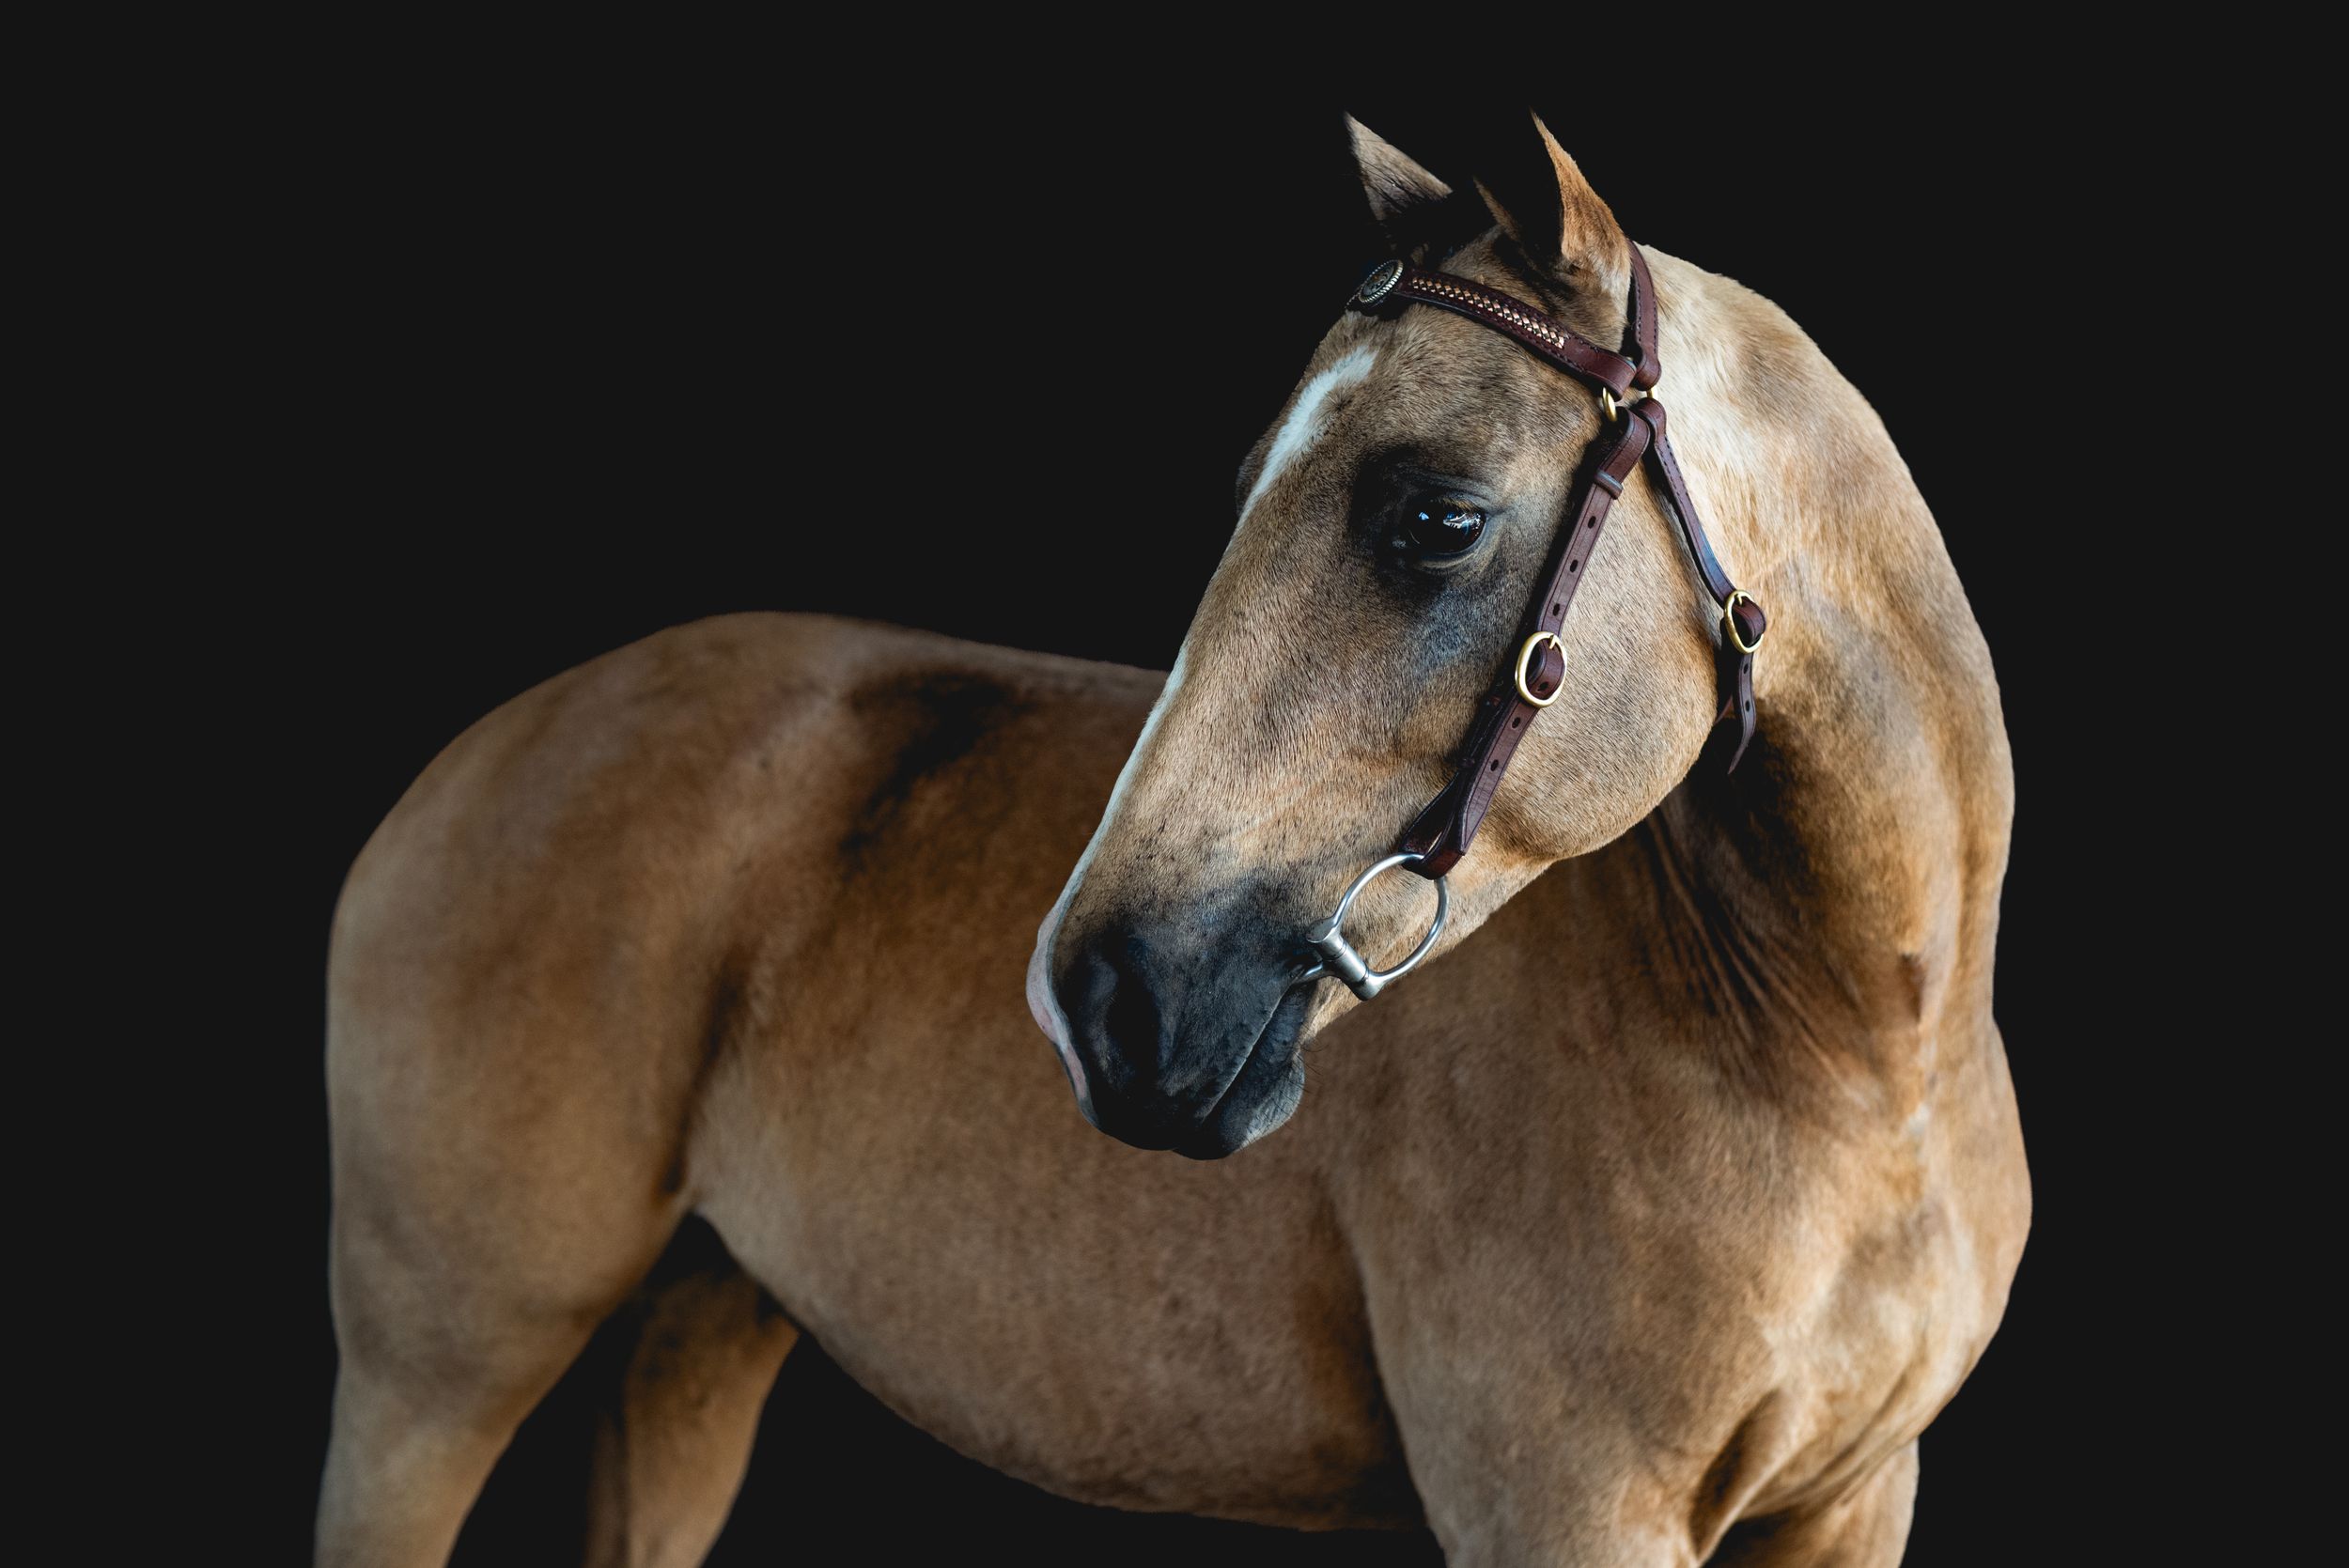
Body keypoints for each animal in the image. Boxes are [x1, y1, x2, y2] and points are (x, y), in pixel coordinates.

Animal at [316, 115, 2027, 1566]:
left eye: (1435, 519)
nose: (1099, 999)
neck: (1848, 1057)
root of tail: (483, 749)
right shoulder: (1563, 1509)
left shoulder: (1853, 1503)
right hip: (431, 1381)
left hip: (698, 1323)